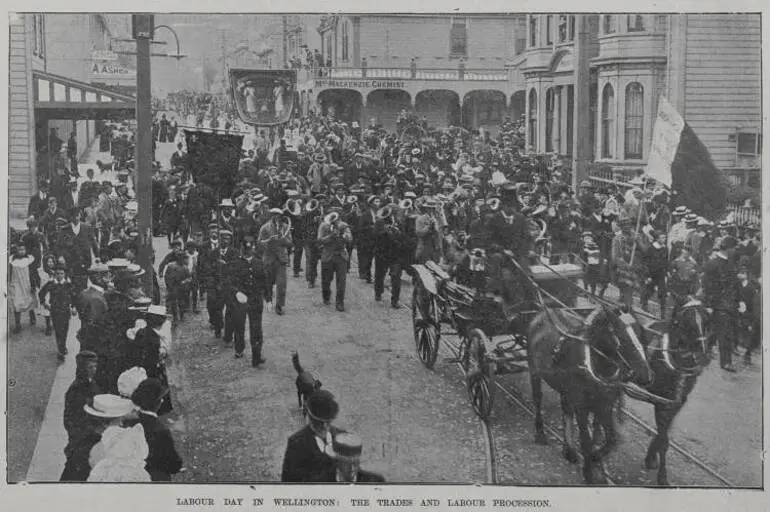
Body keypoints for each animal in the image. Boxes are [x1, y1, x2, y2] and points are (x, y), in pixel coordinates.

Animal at [524, 304, 652, 484]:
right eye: (620, 335)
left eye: (641, 333)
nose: (645, 376)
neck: (593, 366)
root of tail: (544, 311)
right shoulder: (582, 408)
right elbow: (586, 441)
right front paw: (588, 472)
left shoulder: (604, 406)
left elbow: (612, 439)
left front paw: (595, 456)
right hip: (534, 371)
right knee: (537, 399)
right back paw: (541, 433)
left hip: (566, 390)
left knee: (566, 410)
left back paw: (569, 450)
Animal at [624, 302, 708, 486]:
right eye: (687, 321)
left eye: (706, 319)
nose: (701, 355)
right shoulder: (661, 401)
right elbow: (664, 440)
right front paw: (662, 476)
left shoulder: (676, 402)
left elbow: (663, 434)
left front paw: (651, 458)